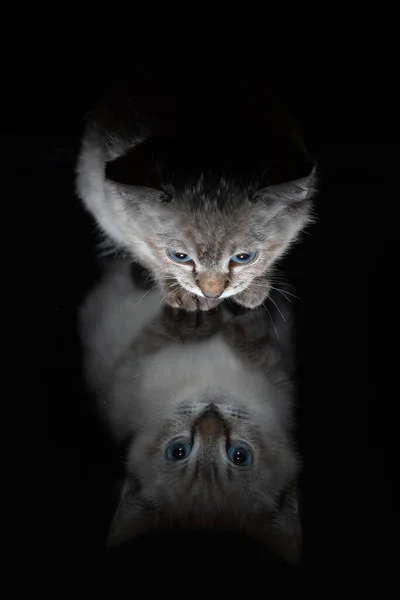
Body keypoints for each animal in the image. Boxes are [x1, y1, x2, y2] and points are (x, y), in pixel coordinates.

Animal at [77, 74, 316, 312]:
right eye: (180, 257)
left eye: (244, 257)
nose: (212, 293)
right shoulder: (107, 207)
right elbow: (144, 251)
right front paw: (179, 291)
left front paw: (255, 287)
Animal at [79, 260, 302, 564]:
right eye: (179, 451)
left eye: (239, 456)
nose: (210, 417)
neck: (208, 383)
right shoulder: (127, 381)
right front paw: (197, 314)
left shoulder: (279, 384)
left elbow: (252, 345)